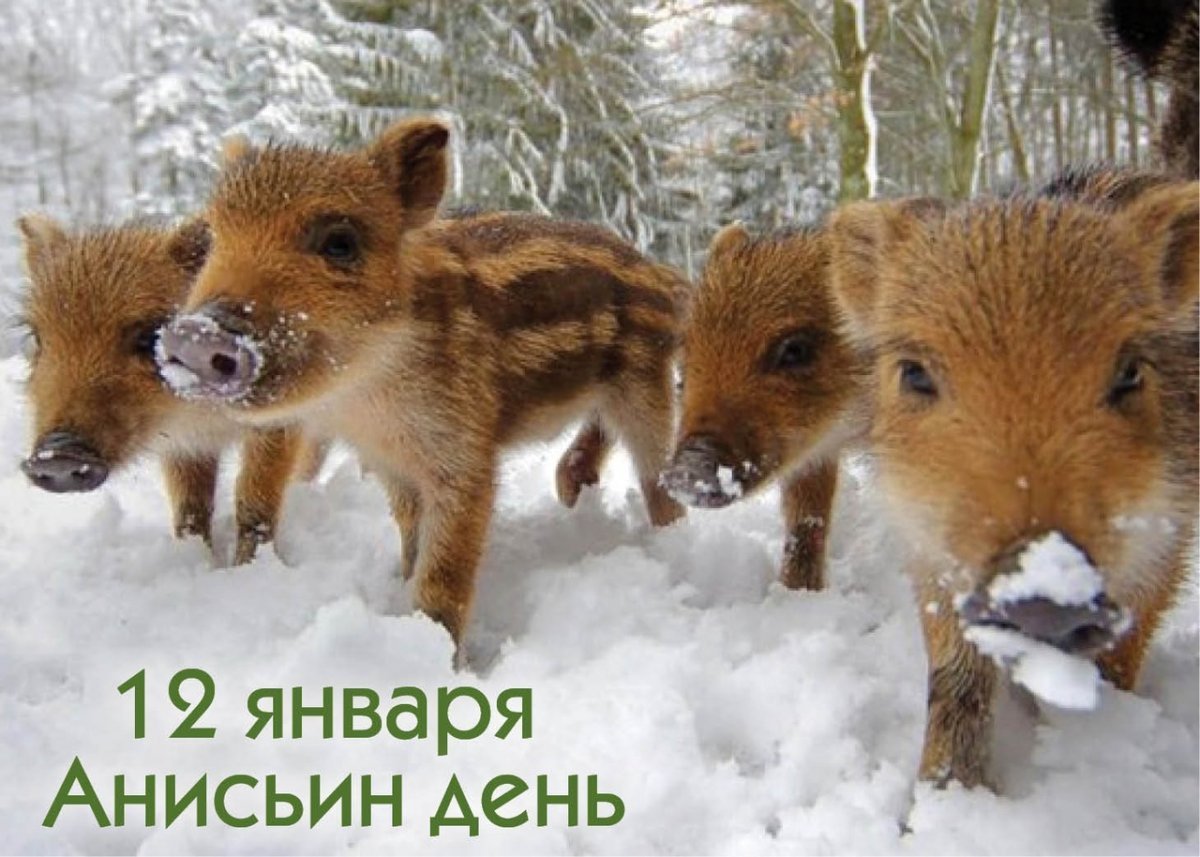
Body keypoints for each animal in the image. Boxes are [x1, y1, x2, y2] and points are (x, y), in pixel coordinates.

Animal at [16, 215, 316, 564]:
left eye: (150, 335)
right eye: (37, 338)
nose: (56, 455)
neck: (205, 417)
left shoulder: (281, 420)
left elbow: (254, 502)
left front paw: (250, 567)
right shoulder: (185, 445)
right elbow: (191, 508)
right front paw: (201, 562)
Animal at [155, 118, 687, 649]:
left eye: (340, 242)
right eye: (214, 237)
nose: (195, 333)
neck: (369, 391)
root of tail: (662, 277)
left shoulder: (463, 458)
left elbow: (443, 579)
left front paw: (439, 651)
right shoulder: (391, 463)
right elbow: (413, 543)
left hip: (645, 389)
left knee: (656, 477)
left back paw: (672, 540)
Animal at [659, 223, 866, 590]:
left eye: (795, 349)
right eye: (687, 346)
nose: (688, 468)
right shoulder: (814, 453)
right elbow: (806, 517)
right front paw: (798, 592)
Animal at [826, 170, 1198, 788]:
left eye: (1130, 372)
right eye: (914, 373)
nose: (1045, 596)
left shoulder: (1168, 534)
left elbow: (1124, 649)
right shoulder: (928, 543)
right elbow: (955, 676)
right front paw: (943, 792)